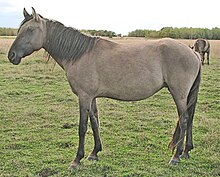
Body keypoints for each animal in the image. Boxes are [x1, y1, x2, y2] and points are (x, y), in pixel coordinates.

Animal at [8, 7, 201, 169]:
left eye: (30, 30)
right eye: (19, 30)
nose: (11, 55)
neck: (79, 54)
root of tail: (193, 52)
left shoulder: (84, 97)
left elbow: (82, 127)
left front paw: (76, 160)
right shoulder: (91, 97)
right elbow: (95, 122)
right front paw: (94, 153)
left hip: (179, 94)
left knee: (184, 120)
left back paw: (175, 156)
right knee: (190, 118)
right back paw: (185, 152)